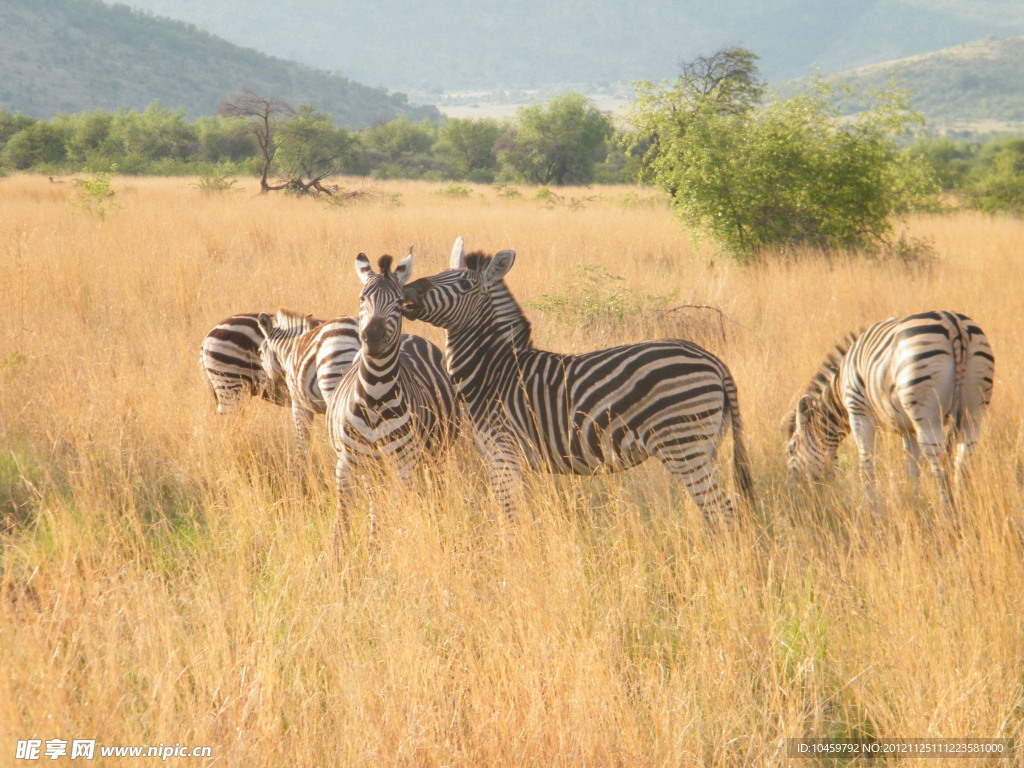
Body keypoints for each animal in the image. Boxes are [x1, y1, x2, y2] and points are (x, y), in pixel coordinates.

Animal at [325, 249, 458, 528]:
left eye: (398, 303)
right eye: (362, 298)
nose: (373, 338)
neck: (374, 395)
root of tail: (411, 337)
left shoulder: (402, 465)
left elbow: (394, 514)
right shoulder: (346, 464)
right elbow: (342, 521)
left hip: (435, 454)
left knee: (434, 490)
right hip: (374, 467)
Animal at [399, 237, 753, 524]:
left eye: (465, 286)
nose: (406, 291)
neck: (494, 371)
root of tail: (714, 361)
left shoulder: (503, 452)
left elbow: (509, 515)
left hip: (683, 444)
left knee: (722, 510)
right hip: (705, 445)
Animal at [782, 309, 991, 507]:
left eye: (791, 450)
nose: (791, 495)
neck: (839, 387)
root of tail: (953, 324)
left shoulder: (858, 412)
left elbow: (866, 465)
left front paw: (871, 507)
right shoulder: (908, 430)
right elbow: (911, 468)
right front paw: (913, 504)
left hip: (927, 414)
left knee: (940, 463)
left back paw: (948, 511)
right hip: (974, 409)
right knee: (963, 461)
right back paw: (963, 504)